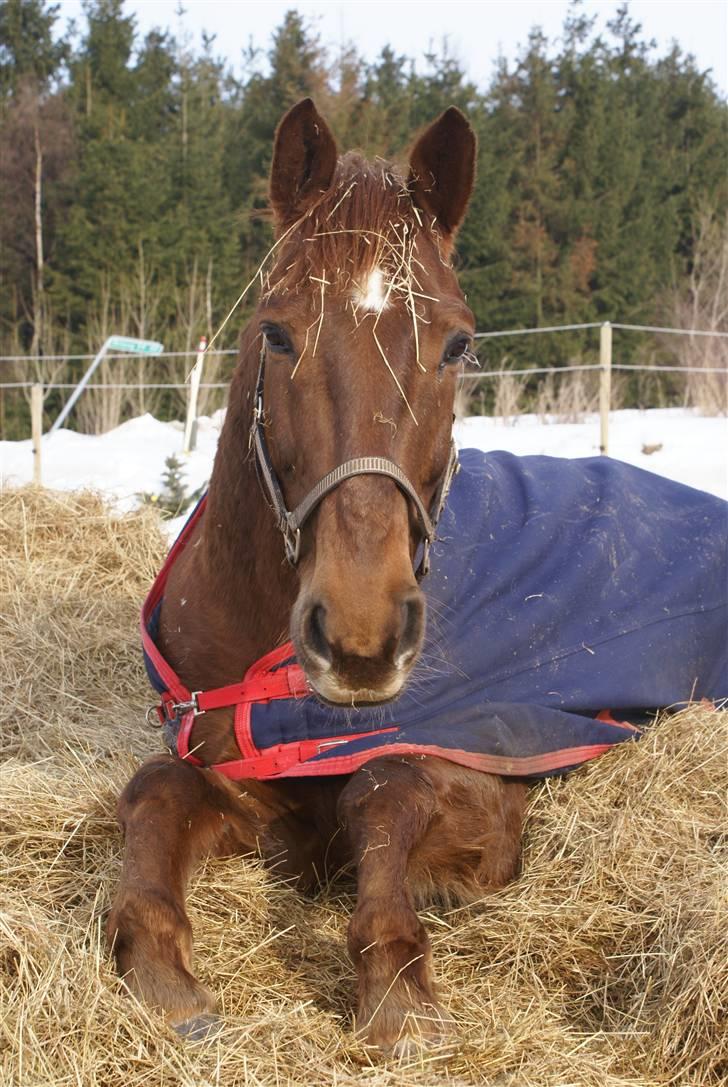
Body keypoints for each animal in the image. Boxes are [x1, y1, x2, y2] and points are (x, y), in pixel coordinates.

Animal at [108, 100, 528, 1052]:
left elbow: (383, 784)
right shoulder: (252, 795)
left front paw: (397, 979)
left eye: (458, 343)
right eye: (276, 331)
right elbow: (156, 786)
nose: (361, 636)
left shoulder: (491, 799)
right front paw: (158, 958)